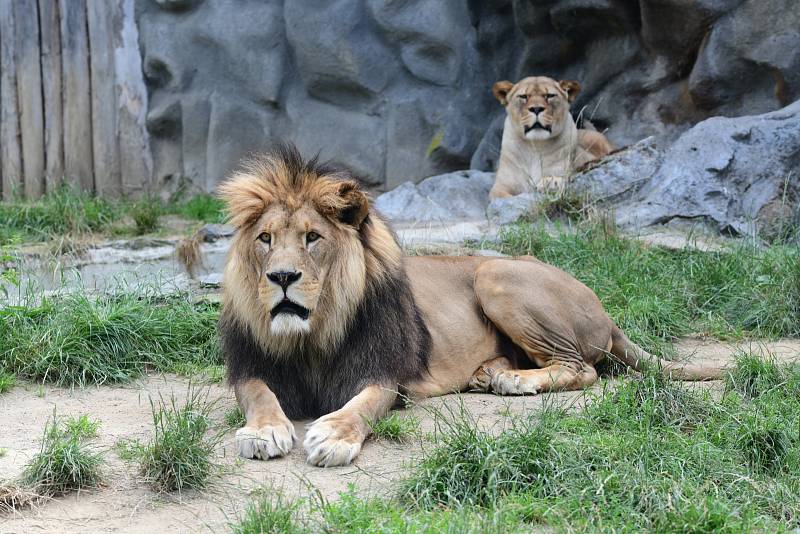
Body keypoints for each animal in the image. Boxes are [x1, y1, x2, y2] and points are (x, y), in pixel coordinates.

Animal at [219, 147, 720, 468]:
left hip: (494, 274)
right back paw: (490, 373)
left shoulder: (384, 374)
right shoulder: (251, 366)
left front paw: (332, 435)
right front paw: (263, 431)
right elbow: (260, 396)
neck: (313, 334)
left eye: (312, 238)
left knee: (582, 368)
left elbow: (360, 407)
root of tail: (608, 315)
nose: (282, 277)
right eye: (265, 239)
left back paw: (515, 381)